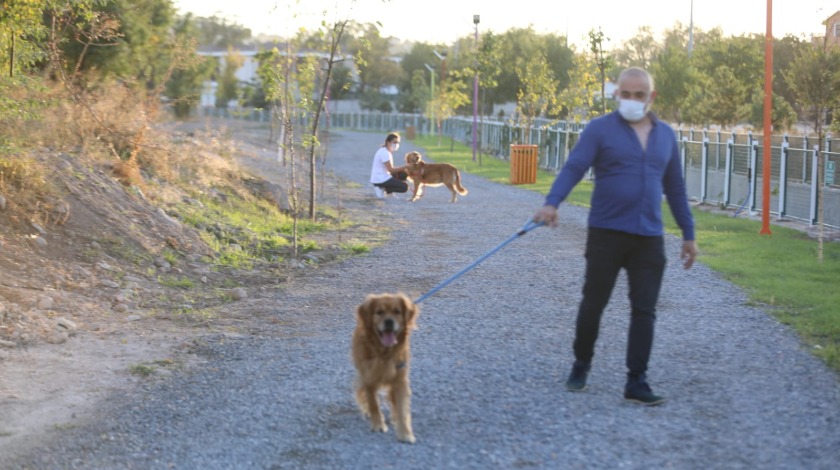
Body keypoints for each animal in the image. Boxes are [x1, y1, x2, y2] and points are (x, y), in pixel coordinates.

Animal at [352, 292, 420, 442]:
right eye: (379, 312)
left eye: (397, 312)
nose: (389, 321)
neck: (384, 354)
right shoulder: (369, 378)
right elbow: (374, 404)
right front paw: (378, 425)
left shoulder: (400, 380)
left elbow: (401, 408)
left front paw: (405, 433)